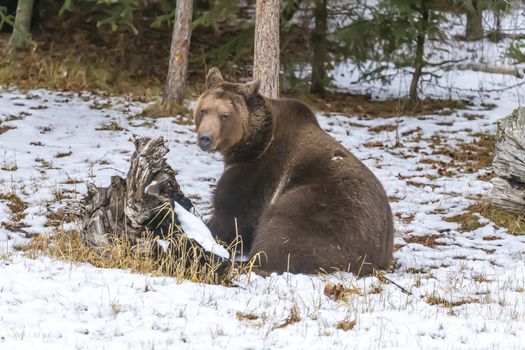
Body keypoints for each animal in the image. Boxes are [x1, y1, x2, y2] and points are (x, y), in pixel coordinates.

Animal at [192, 67, 392, 276]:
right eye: (203, 110)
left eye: (225, 115)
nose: (205, 138)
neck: (251, 146)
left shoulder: (257, 173)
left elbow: (233, 217)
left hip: (324, 210)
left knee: (283, 232)